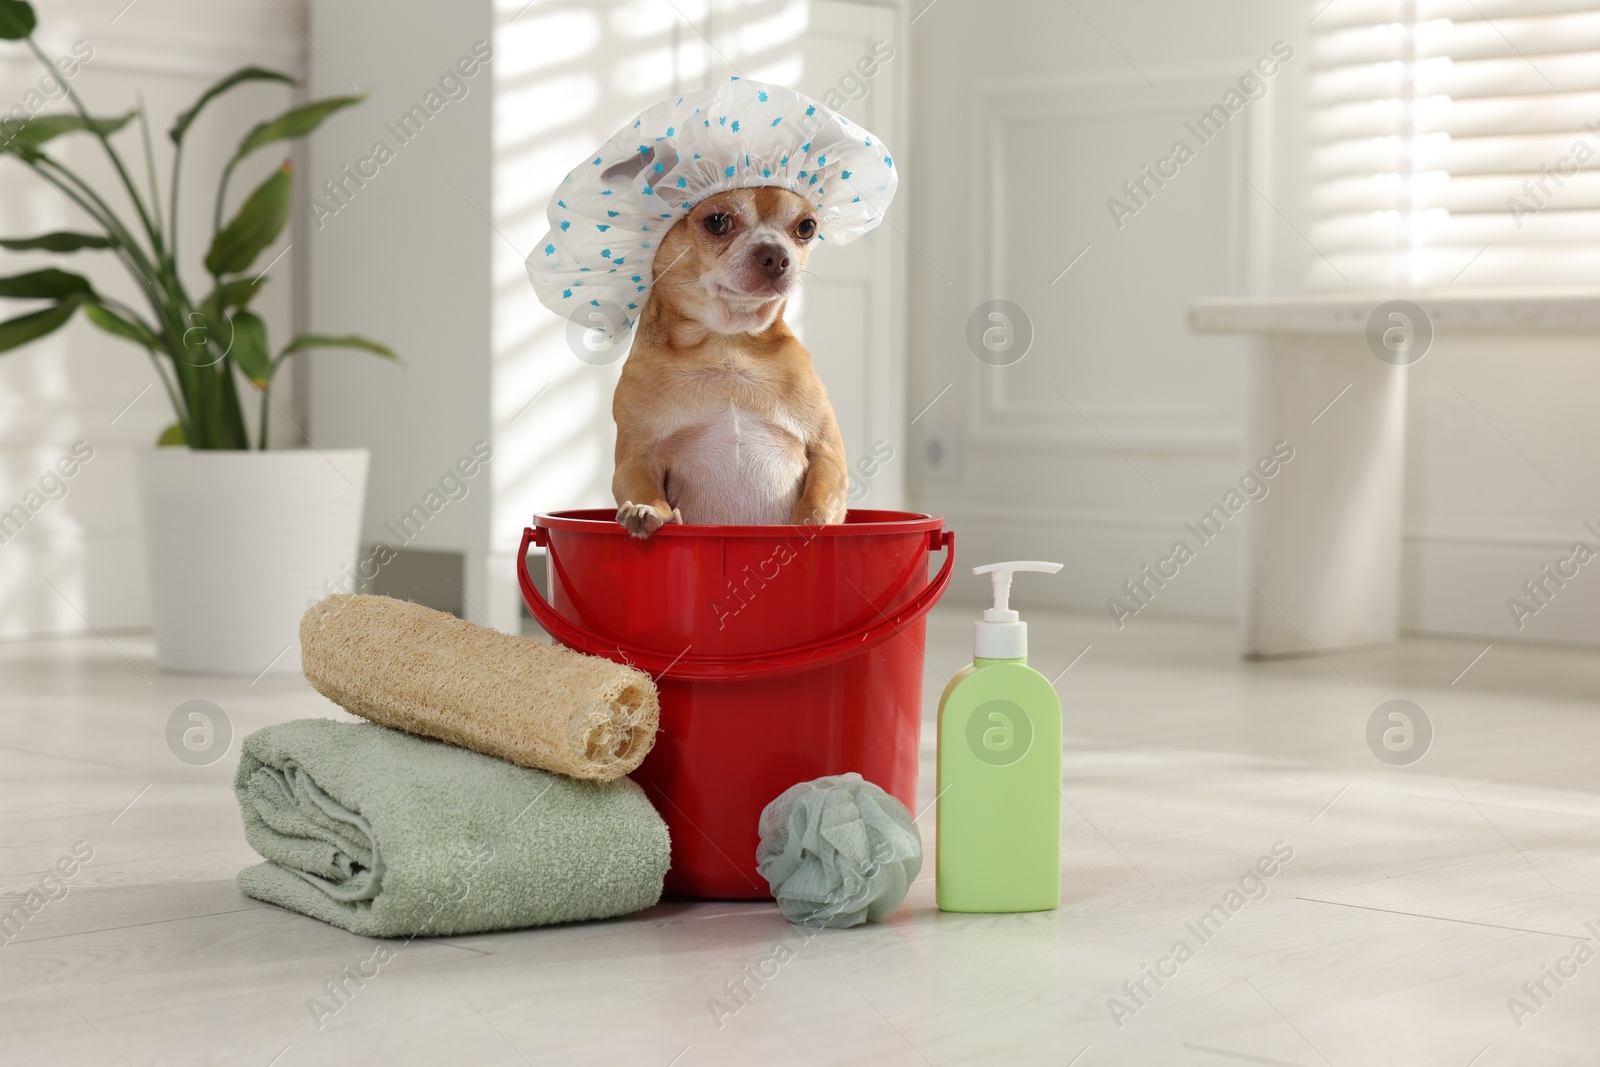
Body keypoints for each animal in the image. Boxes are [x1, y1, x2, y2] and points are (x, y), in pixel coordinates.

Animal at [608, 185, 851, 543]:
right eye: (717, 222)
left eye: (806, 227)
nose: (776, 254)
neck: (727, 344)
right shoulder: (636, 460)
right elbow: (645, 491)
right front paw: (646, 512)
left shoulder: (826, 454)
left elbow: (816, 504)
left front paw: (808, 526)